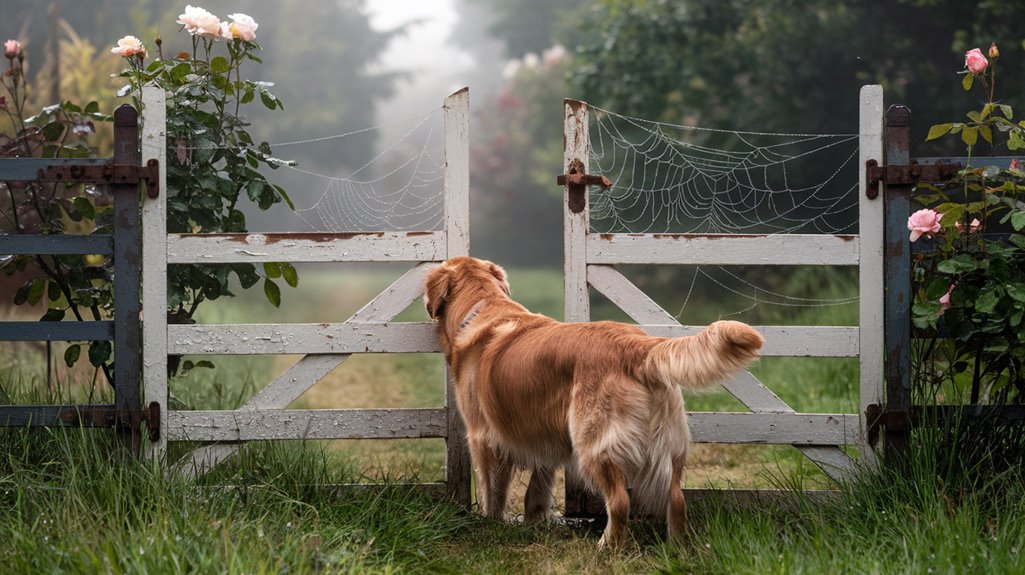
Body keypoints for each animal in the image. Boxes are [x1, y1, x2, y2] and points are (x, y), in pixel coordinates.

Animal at [420, 256, 766, 545]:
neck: (483, 306)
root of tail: (640, 345)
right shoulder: (545, 433)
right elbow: (537, 488)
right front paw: (533, 522)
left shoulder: (482, 435)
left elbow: (492, 488)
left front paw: (490, 522)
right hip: (668, 447)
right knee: (677, 498)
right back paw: (678, 547)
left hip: (594, 445)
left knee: (620, 502)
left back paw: (607, 547)